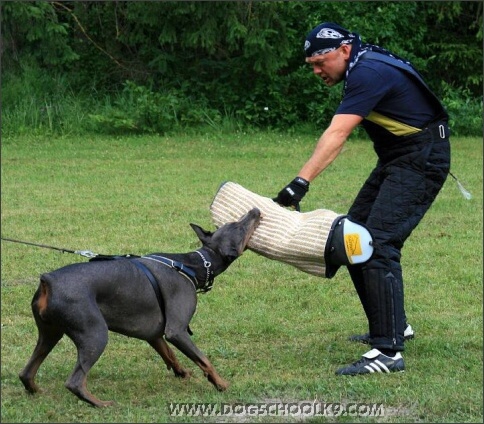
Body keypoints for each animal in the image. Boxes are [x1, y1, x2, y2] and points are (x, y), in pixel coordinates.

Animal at [18, 209, 260, 408]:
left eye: (232, 222)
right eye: (239, 227)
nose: (255, 210)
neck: (195, 264)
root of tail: (48, 281)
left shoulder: (153, 333)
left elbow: (169, 354)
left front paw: (182, 373)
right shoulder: (177, 330)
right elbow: (204, 360)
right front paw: (222, 384)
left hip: (50, 334)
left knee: (26, 373)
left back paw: (38, 391)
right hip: (94, 335)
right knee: (74, 382)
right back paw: (102, 404)